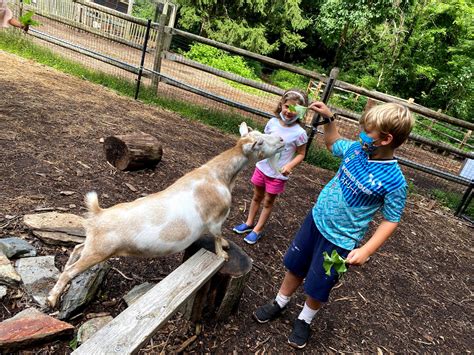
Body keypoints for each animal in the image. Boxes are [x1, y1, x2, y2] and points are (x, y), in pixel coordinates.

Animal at [47, 122, 286, 308]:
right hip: (99, 251)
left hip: (92, 244)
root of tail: (97, 213)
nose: (282, 139)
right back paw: (51, 299)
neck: (217, 176)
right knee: (71, 271)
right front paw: (223, 254)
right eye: (260, 141)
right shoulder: (217, 219)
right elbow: (217, 236)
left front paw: (227, 245)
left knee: (76, 249)